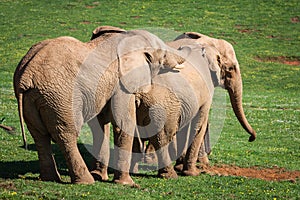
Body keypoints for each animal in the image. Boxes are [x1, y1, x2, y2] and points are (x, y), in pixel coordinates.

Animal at [14, 26, 185, 184]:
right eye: (163, 54)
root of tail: (26, 75)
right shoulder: (121, 83)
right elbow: (124, 123)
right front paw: (126, 184)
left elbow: (100, 125)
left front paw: (100, 176)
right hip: (60, 97)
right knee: (66, 134)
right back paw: (86, 181)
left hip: (34, 99)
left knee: (39, 136)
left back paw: (51, 179)